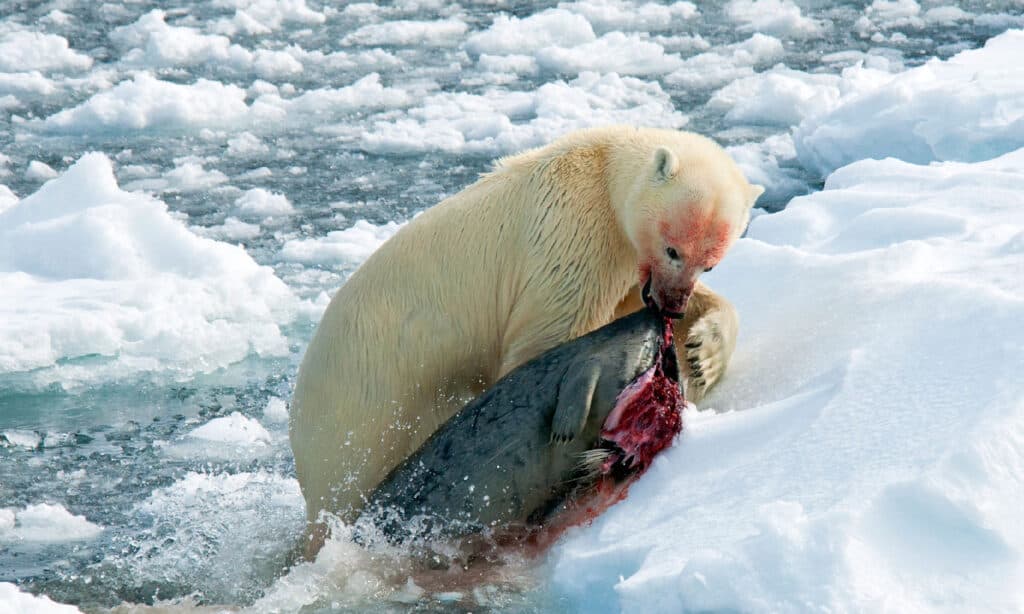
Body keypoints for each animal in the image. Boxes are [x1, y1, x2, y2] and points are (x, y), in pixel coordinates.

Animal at [288, 124, 761, 552]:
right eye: (672, 249)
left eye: (710, 261)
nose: (672, 304)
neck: (602, 177)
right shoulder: (571, 238)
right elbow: (549, 336)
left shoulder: (625, 267)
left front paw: (703, 354)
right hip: (366, 412)